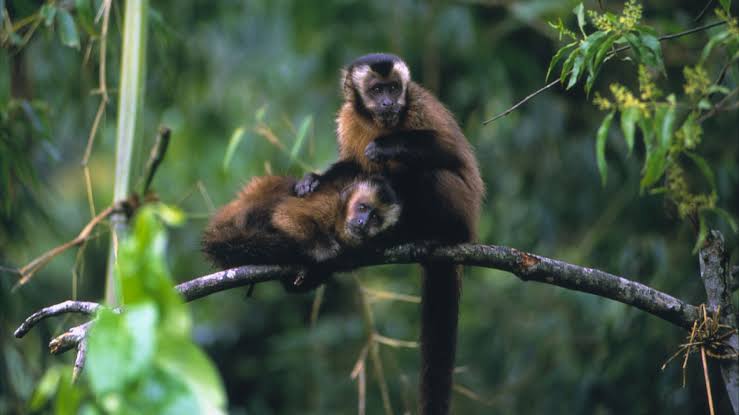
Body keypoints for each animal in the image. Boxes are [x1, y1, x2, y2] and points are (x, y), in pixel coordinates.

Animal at [201, 174, 402, 291]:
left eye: (375, 217)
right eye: (362, 207)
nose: (363, 222)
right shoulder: (328, 202)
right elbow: (284, 214)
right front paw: (325, 250)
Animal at [295, 53, 484, 414]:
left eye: (395, 88)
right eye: (377, 90)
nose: (388, 102)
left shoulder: (419, 106)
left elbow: (452, 153)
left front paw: (387, 146)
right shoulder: (348, 118)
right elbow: (353, 168)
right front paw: (315, 179)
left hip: (463, 209)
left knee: (428, 174)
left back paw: (436, 235)